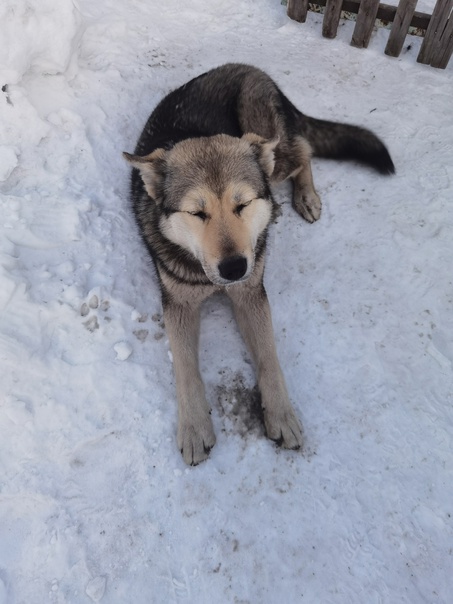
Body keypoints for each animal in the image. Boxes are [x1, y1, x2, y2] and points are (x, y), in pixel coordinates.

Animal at [123, 63, 394, 465]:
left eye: (243, 204)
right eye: (197, 213)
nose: (235, 268)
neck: (210, 279)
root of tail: (251, 68)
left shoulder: (251, 295)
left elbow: (269, 357)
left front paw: (281, 414)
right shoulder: (179, 304)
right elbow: (185, 369)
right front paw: (194, 427)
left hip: (269, 141)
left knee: (302, 152)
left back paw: (305, 196)